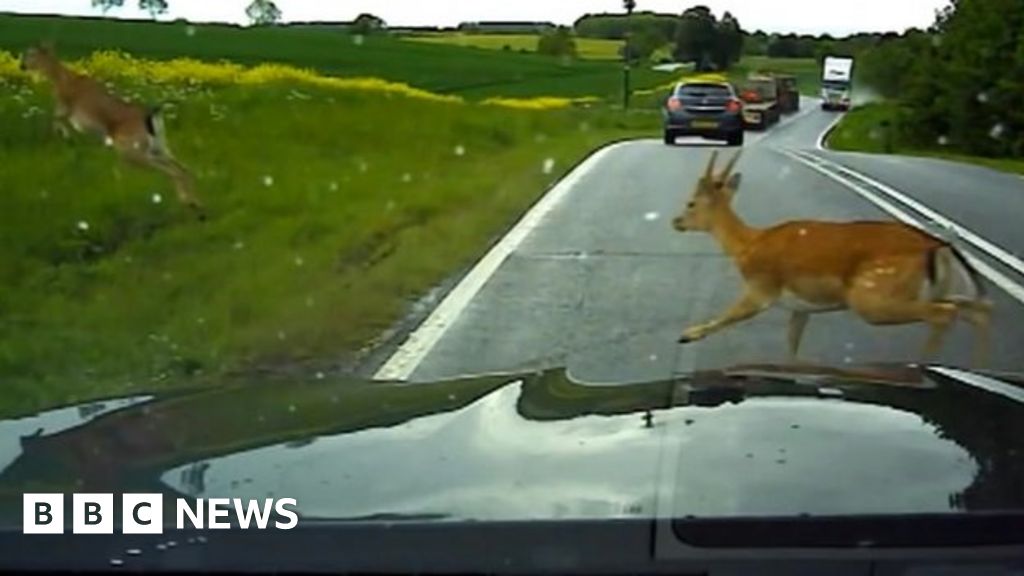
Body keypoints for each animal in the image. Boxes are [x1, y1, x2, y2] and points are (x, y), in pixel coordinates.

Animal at [20, 44, 204, 220]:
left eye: (31, 53)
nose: (22, 66)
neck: (61, 79)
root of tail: (151, 116)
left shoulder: (65, 109)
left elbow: (54, 121)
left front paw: (66, 138)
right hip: (159, 147)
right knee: (185, 169)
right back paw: (196, 208)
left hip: (131, 151)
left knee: (173, 172)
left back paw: (190, 205)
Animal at [672, 149, 993, 366]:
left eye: (691, 203)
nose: (676, 221)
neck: (748, 245)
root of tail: (938, 246)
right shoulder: (800, 307)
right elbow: (792, 348)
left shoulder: (762, 287)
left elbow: (727, 317)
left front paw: (687, 335)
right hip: (935, 289)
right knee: (977, 309)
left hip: (873, 295)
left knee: (945, 313)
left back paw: (920, 366)